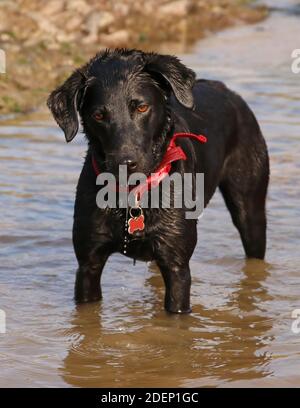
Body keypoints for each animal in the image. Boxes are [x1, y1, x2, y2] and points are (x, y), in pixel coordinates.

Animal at [48, 49, 270, 314]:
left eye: (142, 107)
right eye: (99, 115)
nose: (125, 162)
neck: (133, 196)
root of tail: (227, 90)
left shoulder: (177, 265)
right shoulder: (88, 264)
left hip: (250, 208)